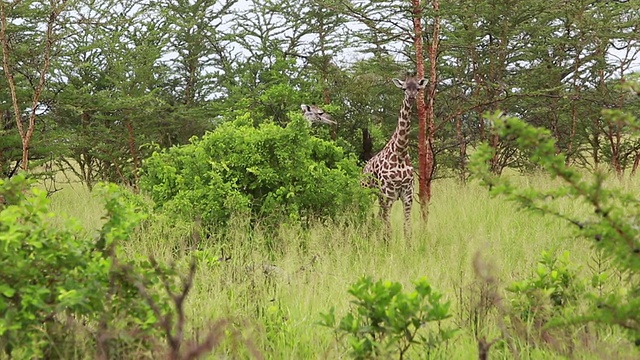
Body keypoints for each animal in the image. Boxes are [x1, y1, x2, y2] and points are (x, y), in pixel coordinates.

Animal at [362, 76, 428, 239]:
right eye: (404, 88)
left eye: (417, 88)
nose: (411, 97)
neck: (400, 152)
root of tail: (364, 168)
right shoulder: (389, 194)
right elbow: (389, 229)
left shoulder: (407, 195)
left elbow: (407, 228)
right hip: (368, 192)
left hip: (380, 197)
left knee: (378, 217)